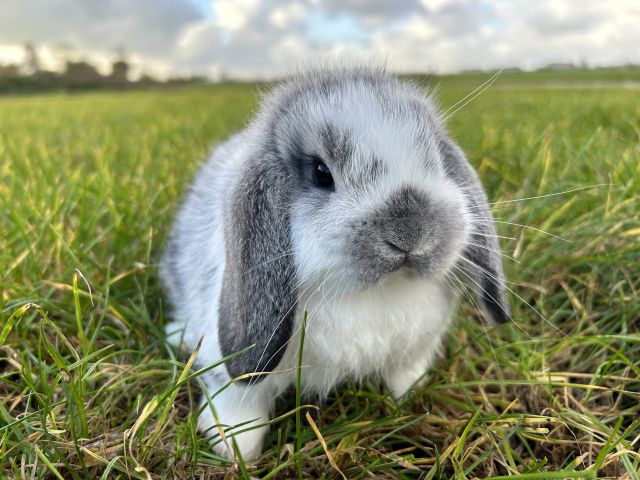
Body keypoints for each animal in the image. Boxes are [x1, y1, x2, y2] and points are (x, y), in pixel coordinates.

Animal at [161, 67, 510, 462]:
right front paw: (234, 446)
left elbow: (404, 373)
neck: (373, 295)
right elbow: (239, 398)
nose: (409, 233)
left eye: (435, 161)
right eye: (320, 173)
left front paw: (411, 392)